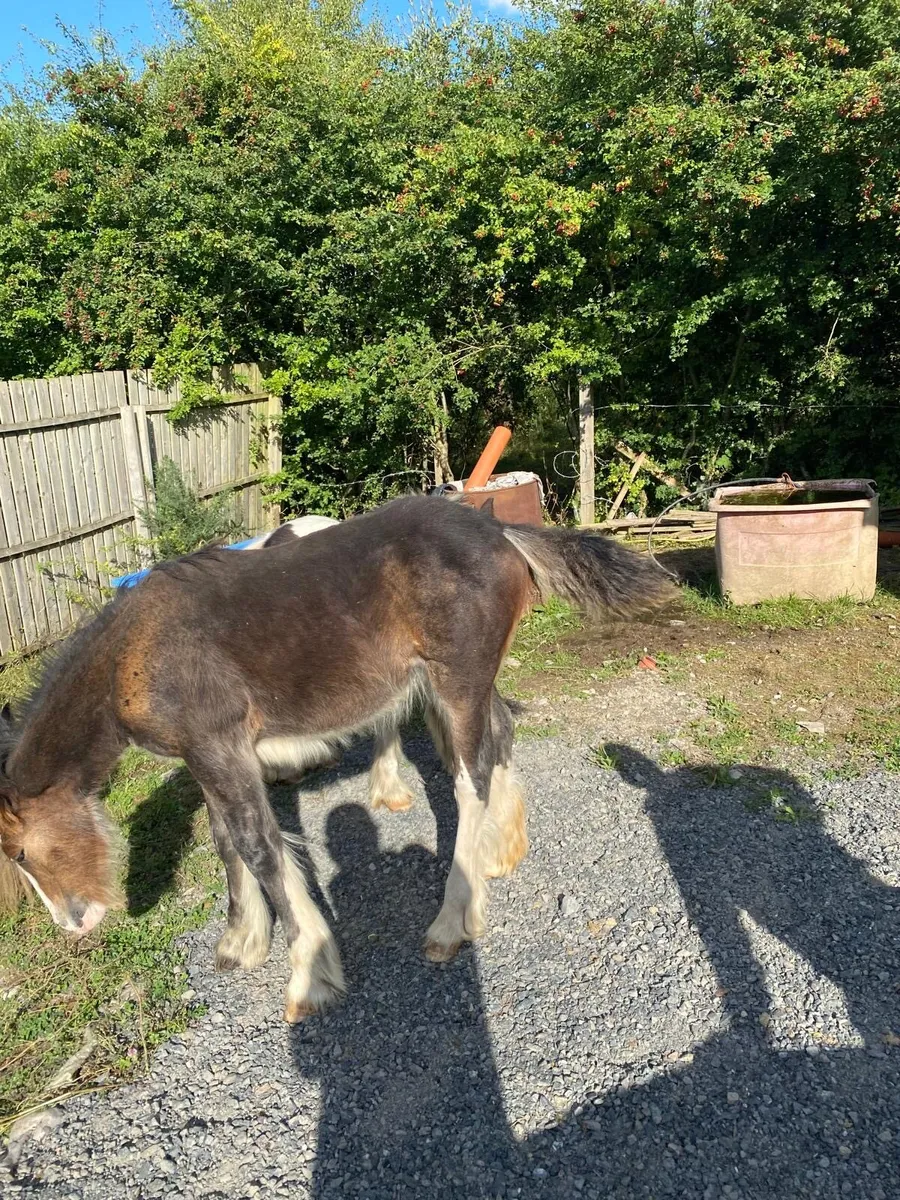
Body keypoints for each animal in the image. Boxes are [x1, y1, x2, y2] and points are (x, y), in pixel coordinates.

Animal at [0, 495, 673, 1022]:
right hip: (466, 685)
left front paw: (309, 974)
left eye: (20, 852)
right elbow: (226, 839)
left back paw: (452, 920)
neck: (131, 655)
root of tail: (500, 530)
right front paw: (242, 942)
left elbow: (259, 847)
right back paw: (500, 854)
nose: (74, 923)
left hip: (456, 684)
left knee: (469, 778)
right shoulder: (209, 756)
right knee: (500, 736)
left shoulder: (219, 746)